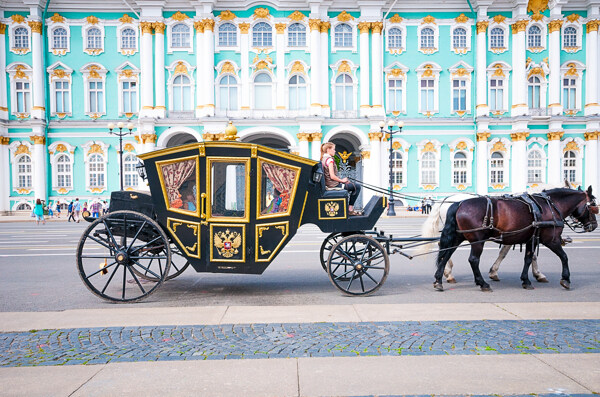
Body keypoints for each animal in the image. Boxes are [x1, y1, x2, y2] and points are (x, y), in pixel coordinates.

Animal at [434, 186, 596, 290]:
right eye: (594, 206)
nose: (594, 225)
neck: (550, 207)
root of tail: (458, 203)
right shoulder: (552, 240)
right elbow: (564, 256)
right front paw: (566, 279)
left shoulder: (530, 239)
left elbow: (528, 258)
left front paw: (526, 280)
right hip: (477, 241)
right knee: (473, 260)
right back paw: (482, 284)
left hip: (457, 237)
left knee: (446, 254)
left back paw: (439, 279)